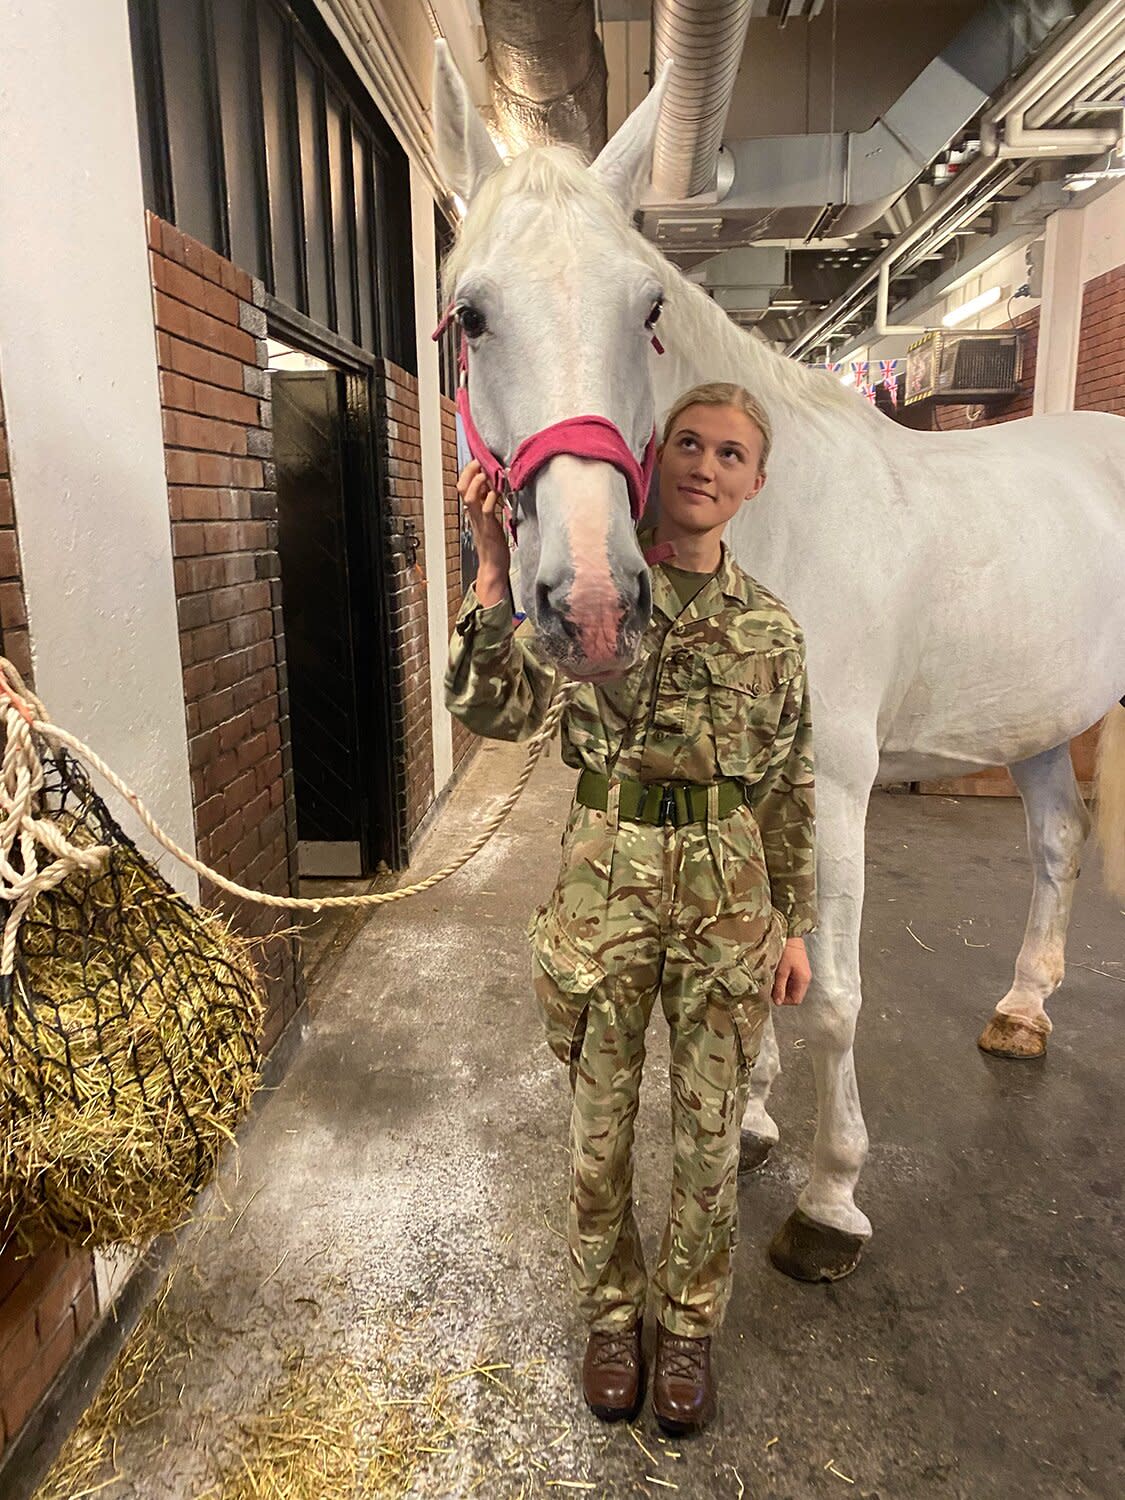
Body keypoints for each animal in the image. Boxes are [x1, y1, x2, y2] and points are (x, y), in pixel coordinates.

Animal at [435, 46, 1125, 1278]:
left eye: (649, 309)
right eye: (471, 315)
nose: (595, 603)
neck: (772, 517)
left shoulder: (832, 785)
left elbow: (835, 996)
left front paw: (831, 1195)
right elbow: (763, 964)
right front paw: (754, 1122)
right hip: (1036, 726)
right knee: (1055, 844)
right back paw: (1022, 1011)